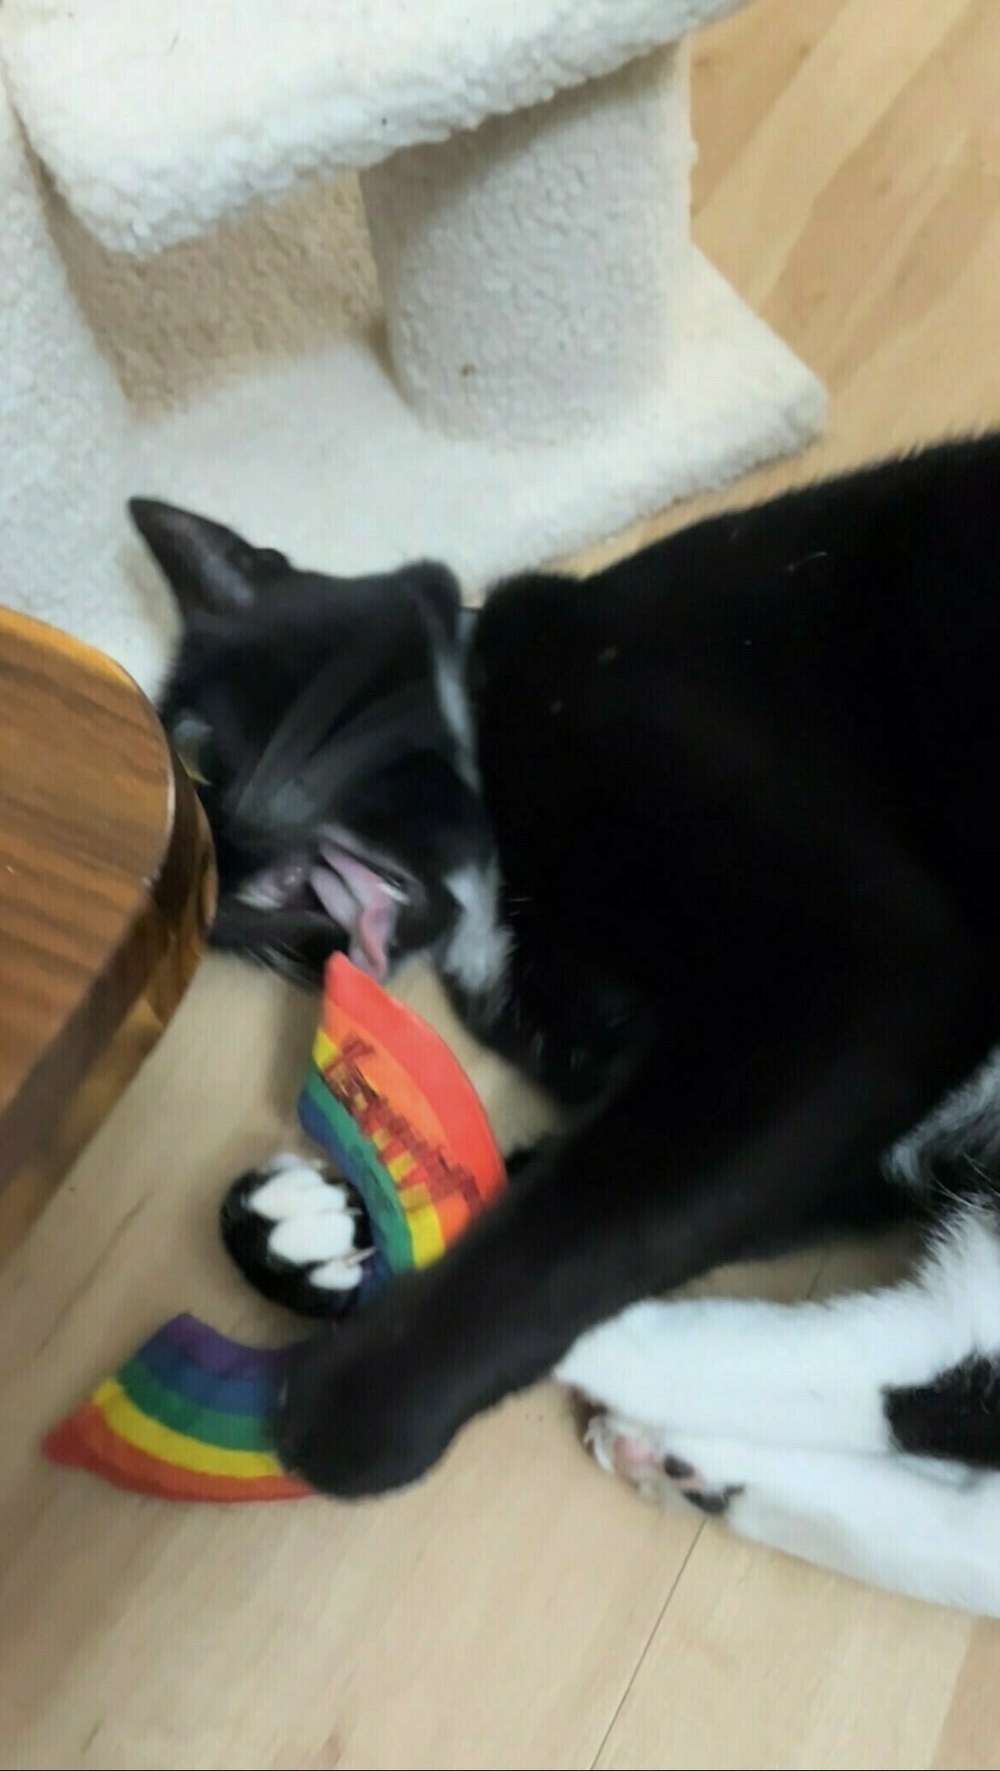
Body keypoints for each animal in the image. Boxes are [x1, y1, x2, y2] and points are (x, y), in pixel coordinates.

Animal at [136, 432, 998, 1622]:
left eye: (198, 752)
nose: (200, 881)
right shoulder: (802, 1111)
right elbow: (570, 1188)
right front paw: (326, 1227)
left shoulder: (876, 976)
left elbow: (582, 1232)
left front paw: (363, 1401)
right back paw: (683, 1455)